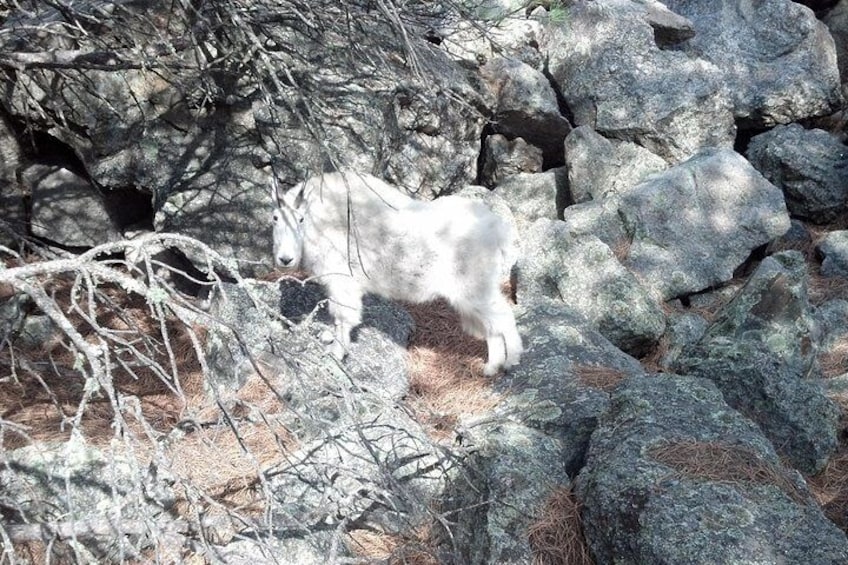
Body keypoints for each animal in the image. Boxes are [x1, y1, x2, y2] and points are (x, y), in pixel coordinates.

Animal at [272, 170, 524, 376]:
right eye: (274, 218)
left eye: (300, 219)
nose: (285, 259)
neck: (320, 220)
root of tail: (497, 230)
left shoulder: (342, 280)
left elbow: (343, 317)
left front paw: (336, 353)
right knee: (492, 325)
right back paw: (491, 367)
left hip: (473, 286)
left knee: (503, 315)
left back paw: (511, 360)